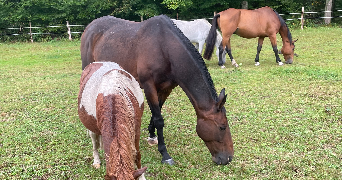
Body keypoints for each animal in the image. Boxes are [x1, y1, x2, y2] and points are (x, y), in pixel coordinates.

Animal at [81, 14, 234, 165]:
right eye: (222, 127)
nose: (228, 158)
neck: (164, 47)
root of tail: (90, 27)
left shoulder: (166, 88)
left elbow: (157, 113)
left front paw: (152, 135)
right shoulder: (149, 86)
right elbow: (159, 119)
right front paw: (165, 154)